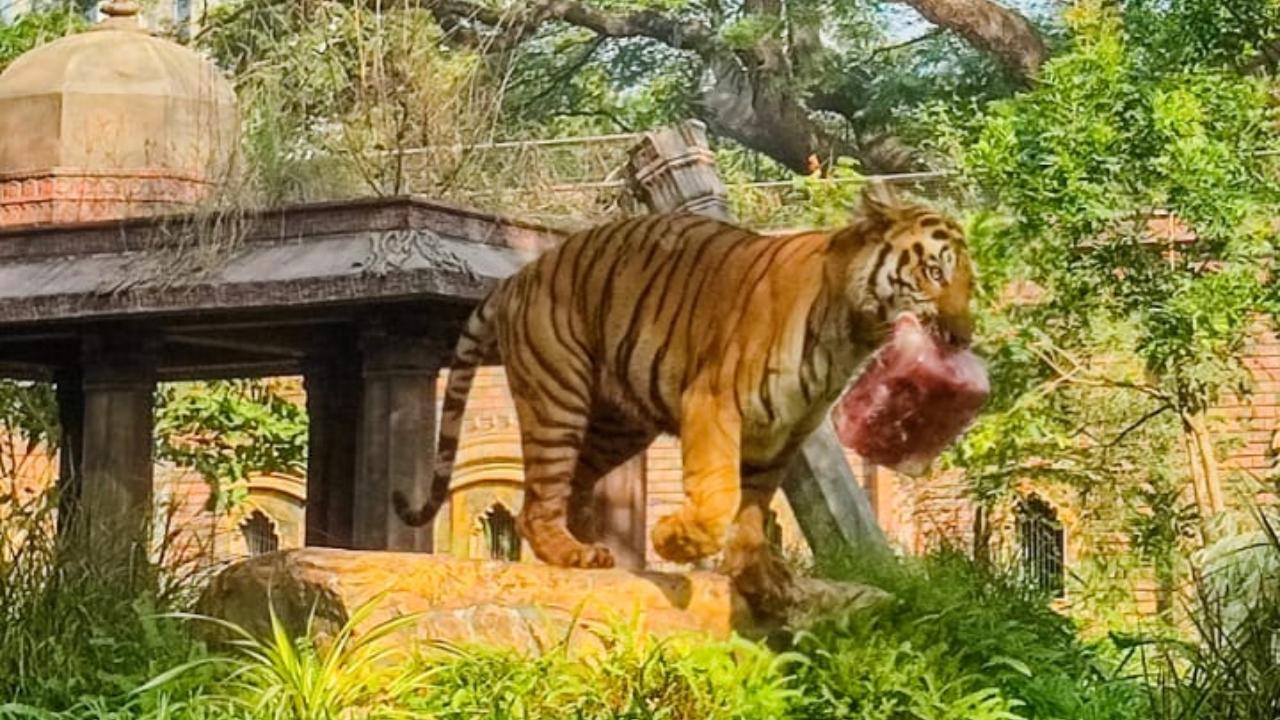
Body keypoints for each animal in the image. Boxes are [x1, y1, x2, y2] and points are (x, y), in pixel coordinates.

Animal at [389, 181, 967, 597]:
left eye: (971, 282)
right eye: (934, 272)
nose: (963, 335)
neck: (849, 333)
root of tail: (519, 276)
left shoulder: (785, 429)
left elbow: (754, 505)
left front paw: (760, 576)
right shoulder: (715, 404)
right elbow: (720, 498)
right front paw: (675, 541)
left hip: (618, 424)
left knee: (573, 483)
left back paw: (596, 549)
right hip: (559, 395)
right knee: (538, 501)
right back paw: (573, 553)